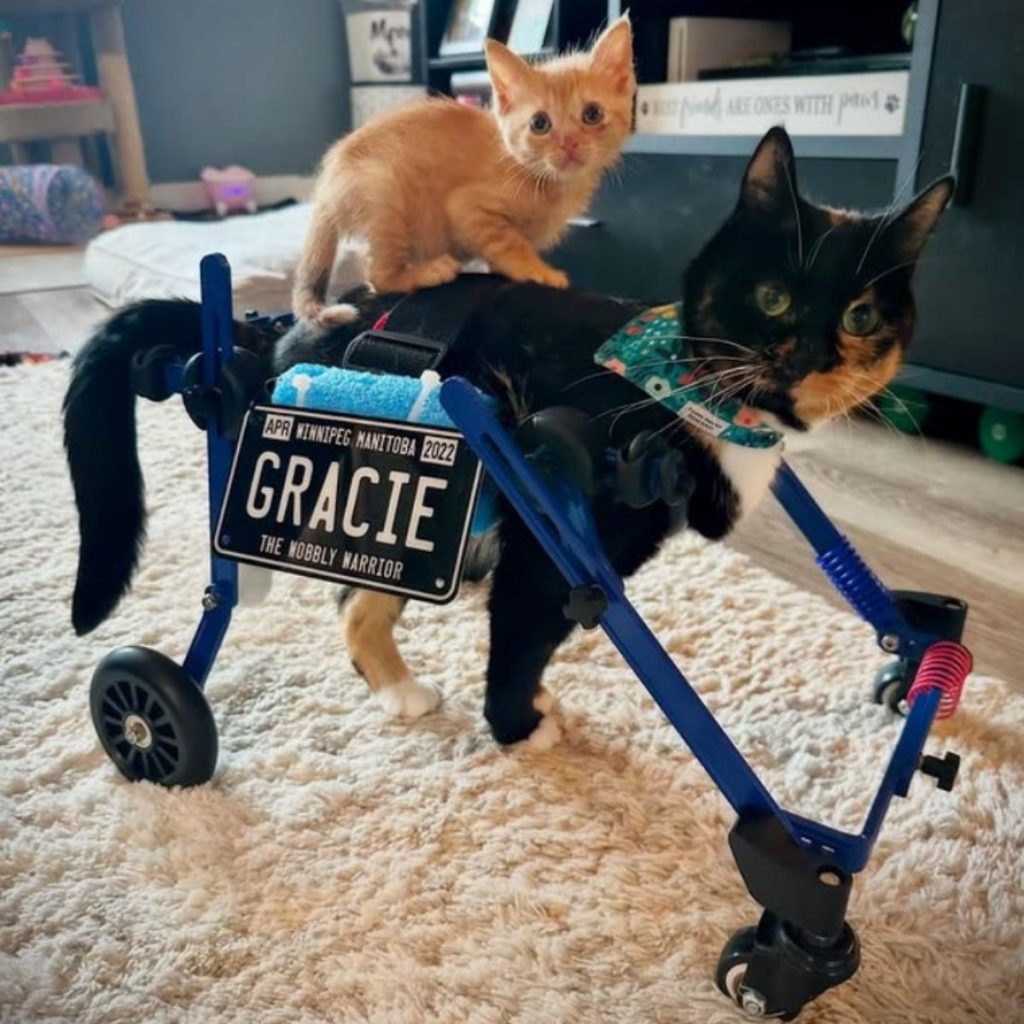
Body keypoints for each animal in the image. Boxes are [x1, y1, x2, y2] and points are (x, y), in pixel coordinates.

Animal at [68, 128, 954, 749]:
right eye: (772, 297)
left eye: (862, 317)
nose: (808, 357)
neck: (691, 387)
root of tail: (274, 335)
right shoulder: (550, 542)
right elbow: (526, 635)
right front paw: (518, 726)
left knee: (357, 599)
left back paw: (396, 686)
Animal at [292, 18, 634, 325]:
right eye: (540, 124)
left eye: (592, 114)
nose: (569, 144)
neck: (537, 175)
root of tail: (327, 184)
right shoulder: (466, 206)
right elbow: (509, 242)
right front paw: (537, 271)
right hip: (385, 193)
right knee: (377, 276)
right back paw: (426, 272)